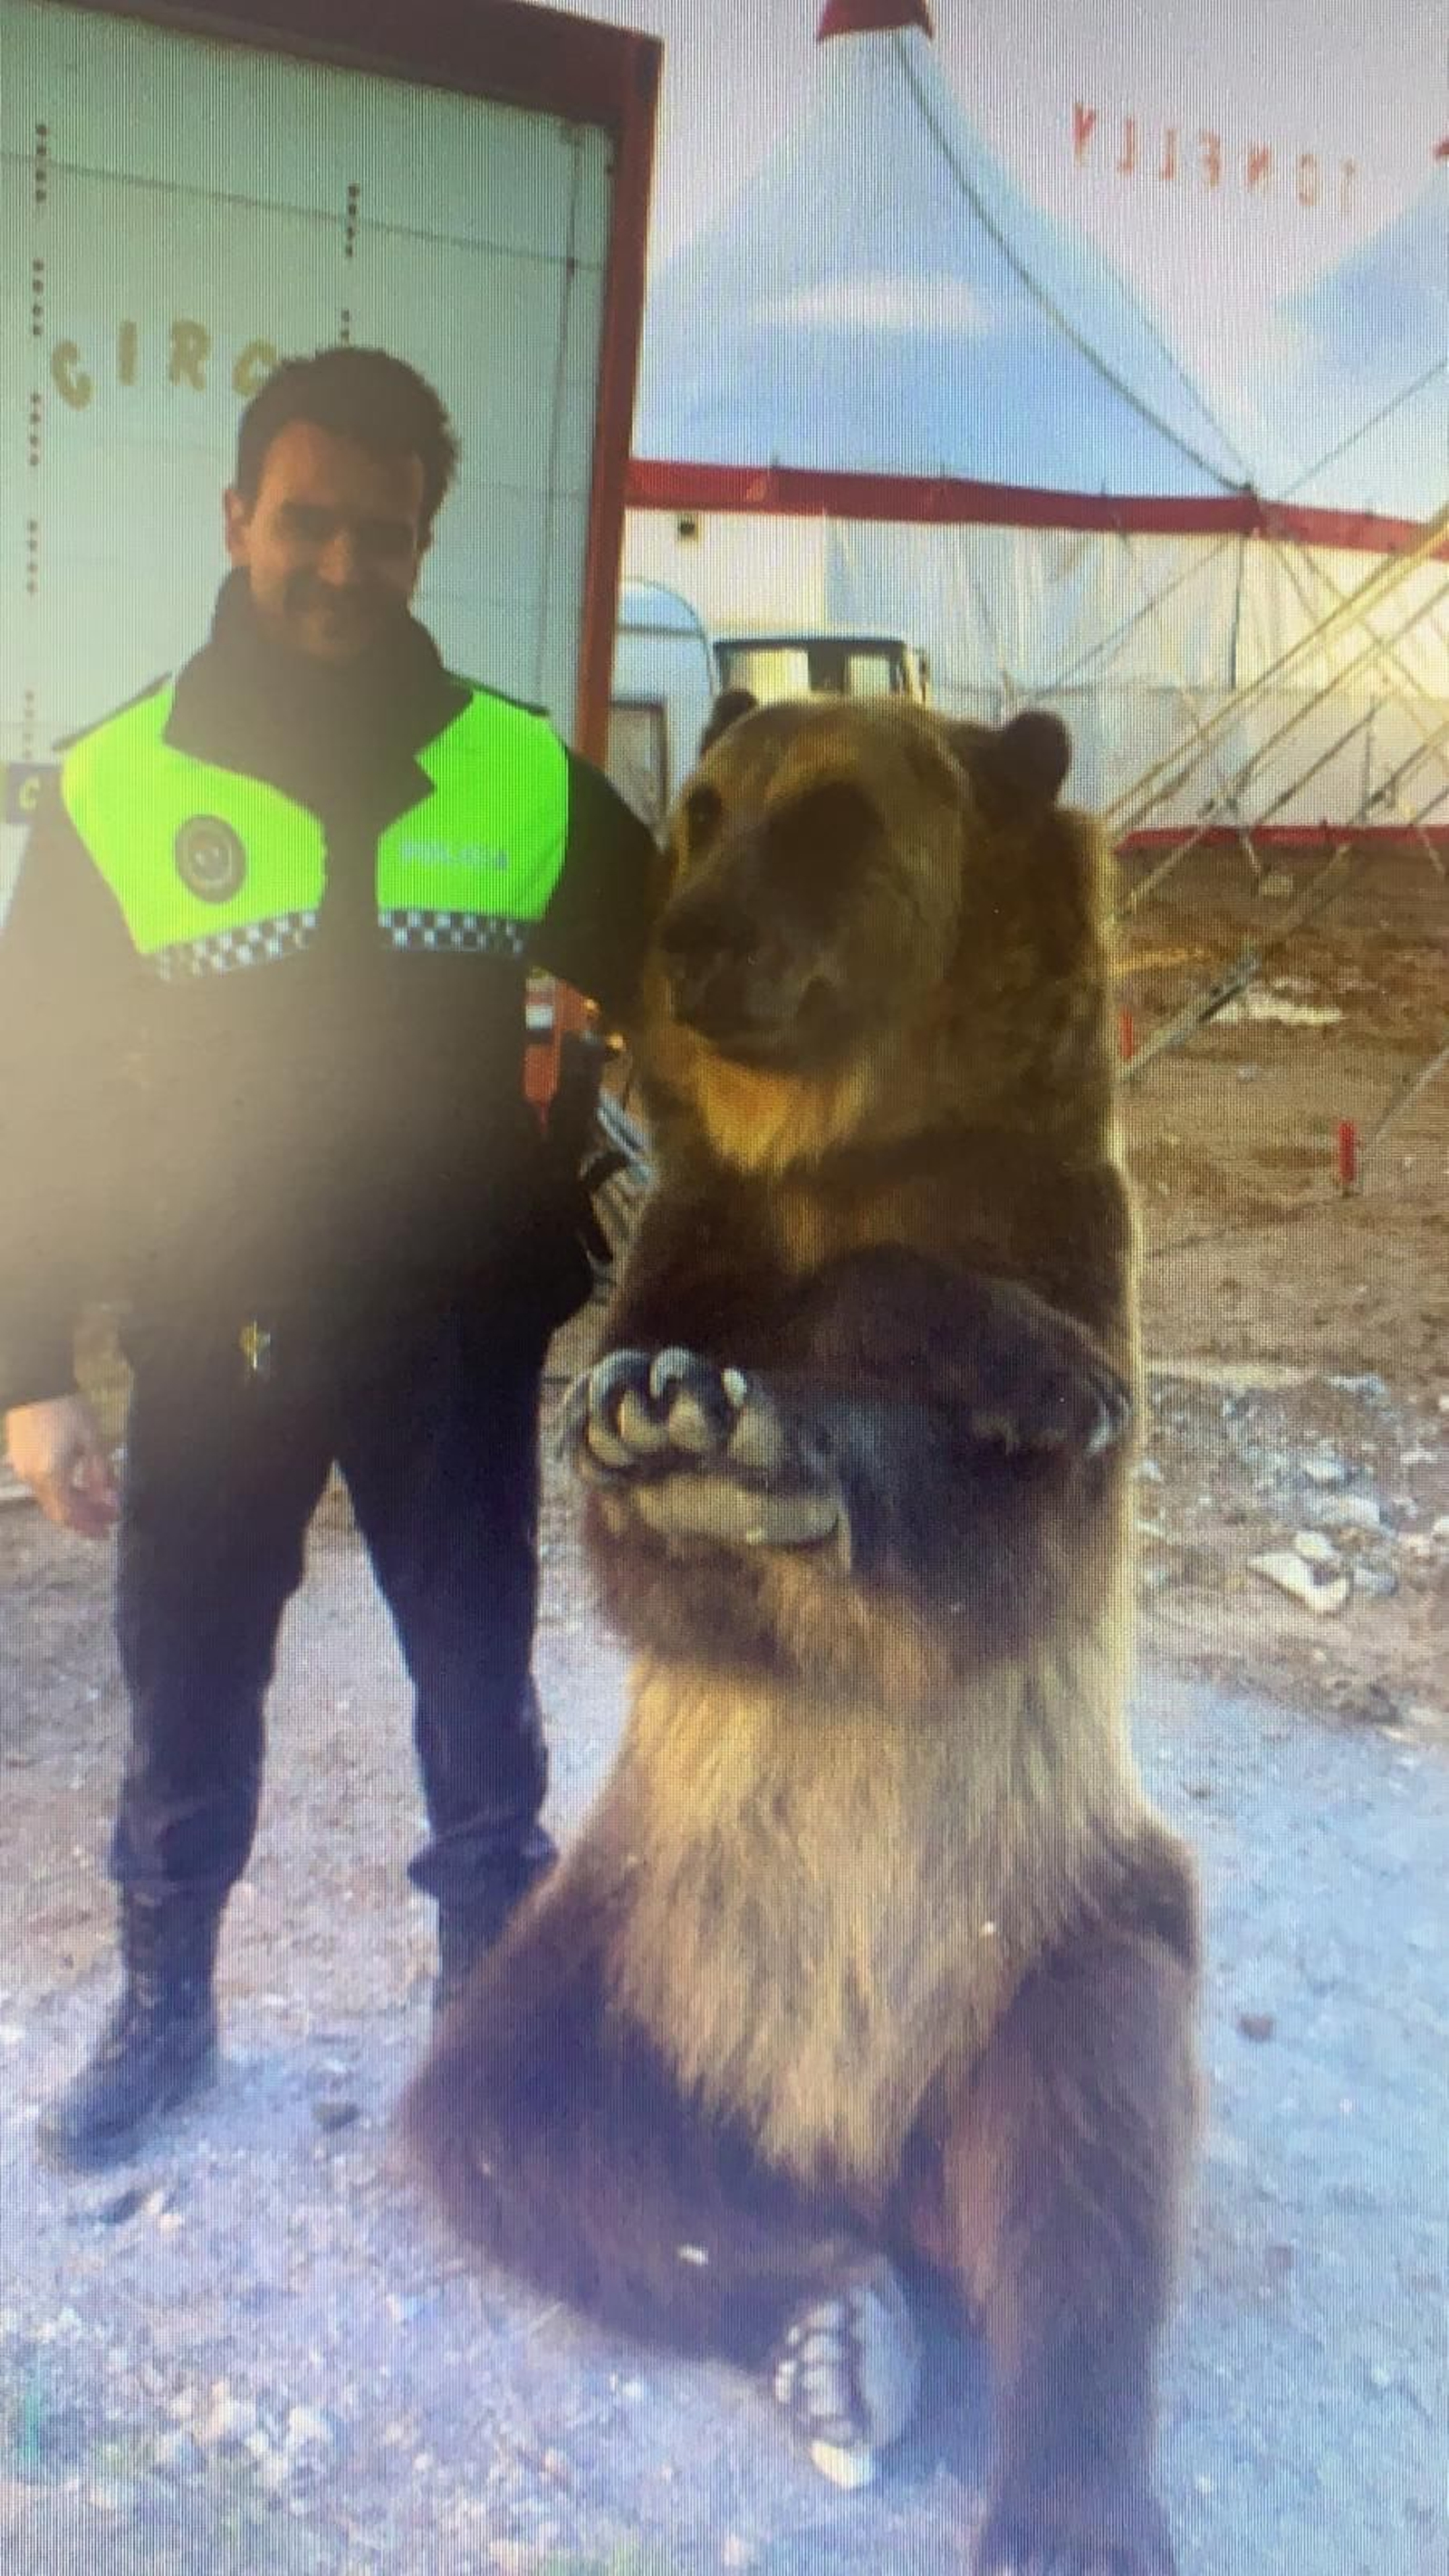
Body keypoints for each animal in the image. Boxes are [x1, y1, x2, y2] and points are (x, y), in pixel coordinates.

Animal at [401, 691, 1201, 2575]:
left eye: (834, 819)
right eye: (705, 807)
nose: (692, 939)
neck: (840, 1134)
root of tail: (843, 2148)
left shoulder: (1062, 1222)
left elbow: (1013, 1520)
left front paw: (789, 1429)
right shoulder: (686, 1233)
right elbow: (640, 1531)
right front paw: (671, 1424)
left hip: (1044, 1913)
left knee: (1088, 2146)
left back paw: (1066, 2498)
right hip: (628, 1937)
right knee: (508, 2124)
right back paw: (825, 2316)